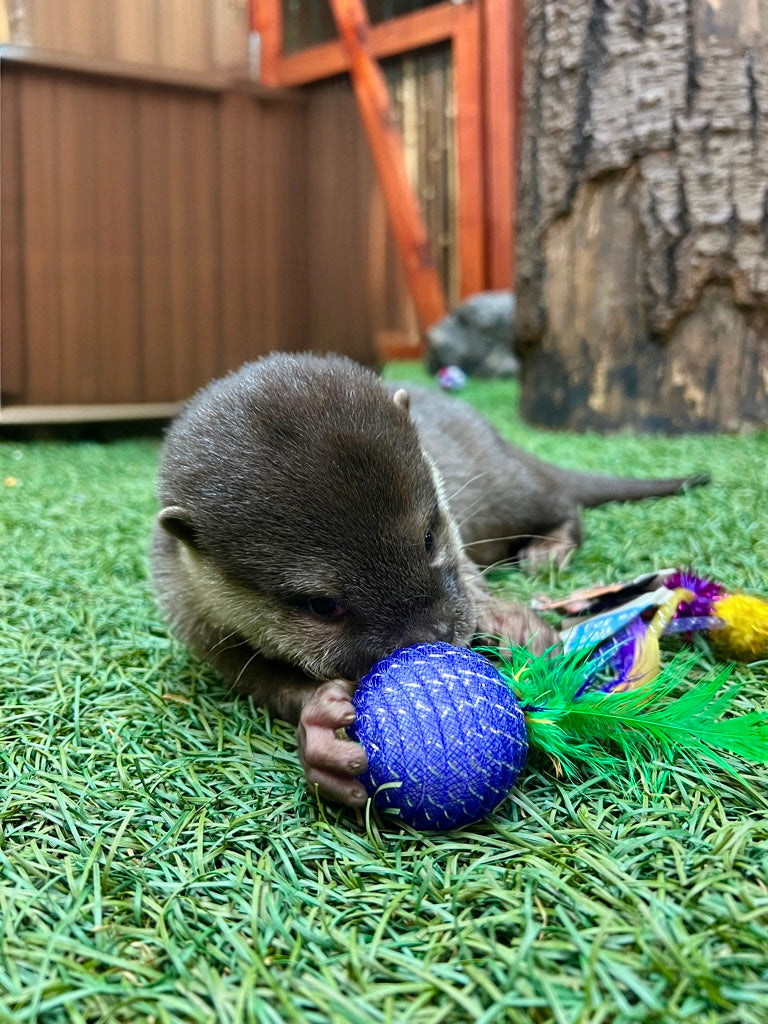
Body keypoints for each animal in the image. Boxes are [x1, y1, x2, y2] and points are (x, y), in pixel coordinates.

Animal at [151, 356, 708, 802]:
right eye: (322, 606)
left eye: (427, 537)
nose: (432, 637)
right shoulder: (199, 627)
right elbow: (264, 682)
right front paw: (322, 731)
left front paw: (509, 621)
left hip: (507, 491)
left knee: (562, 501)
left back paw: (547, 550)